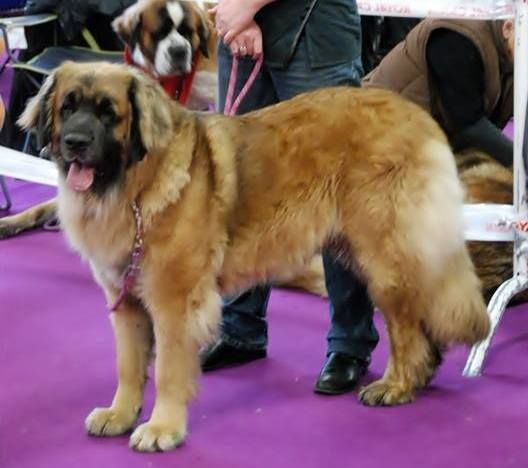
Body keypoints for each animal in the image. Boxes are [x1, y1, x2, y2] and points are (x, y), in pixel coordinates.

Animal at [20, 61, 490, 450]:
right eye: (68, 108)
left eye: (108, 112)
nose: (75, 142)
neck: (135, 185)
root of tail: (419, 115)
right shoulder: (127, 299)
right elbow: (128, 364)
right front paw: (120, 413)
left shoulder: (174, 300)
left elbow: (169, 369)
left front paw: (162, 428)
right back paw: (419, 377)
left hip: (384, 257)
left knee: (405, 323)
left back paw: (396, 385)